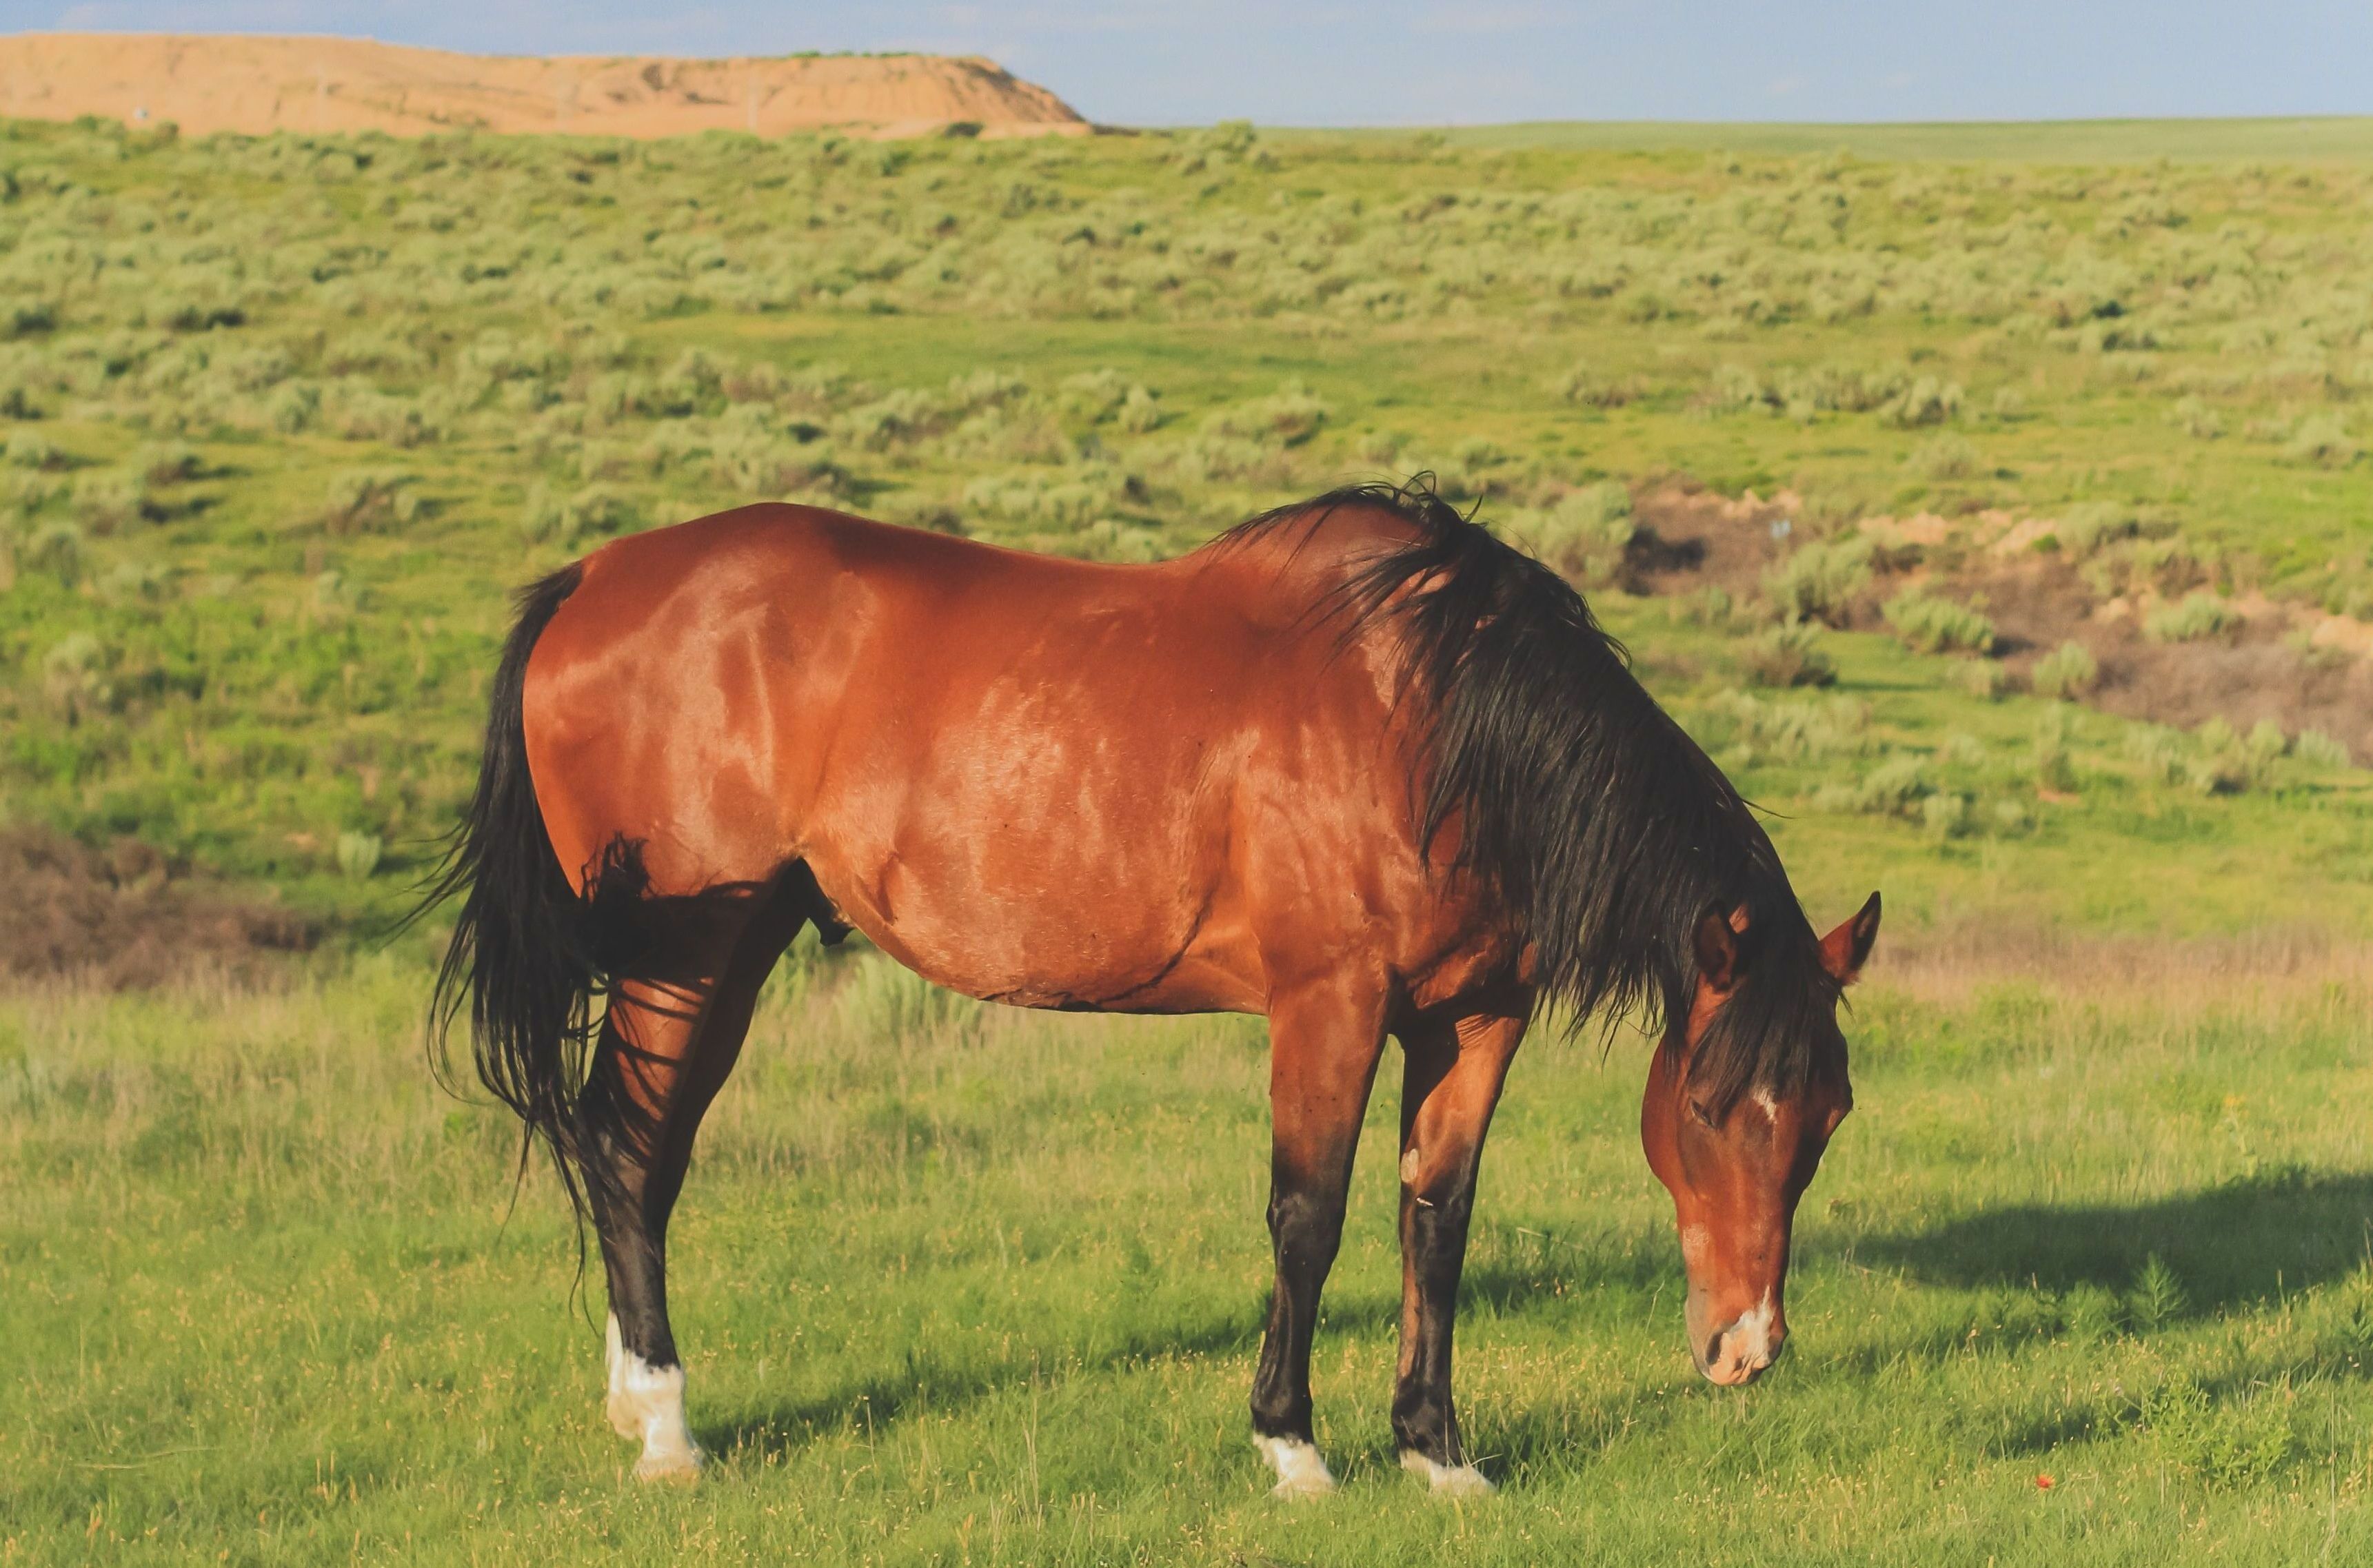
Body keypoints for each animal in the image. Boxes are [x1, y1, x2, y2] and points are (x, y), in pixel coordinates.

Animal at [424, 479, 1879, 1495]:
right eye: (1709, 1106)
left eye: (1826, 1119)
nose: (1747, 1348)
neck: (1435, 719)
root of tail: (595, 577)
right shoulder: (1330, 1005)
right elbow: (1308, 1218)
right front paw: (1293, 1448)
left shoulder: (1473, 1020)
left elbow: (1437, 1220)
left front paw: (1437, 1450)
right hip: (690, 956)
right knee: (628, 1149)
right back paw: (668, 1428)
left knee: (640, 1153)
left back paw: (637, 1402)